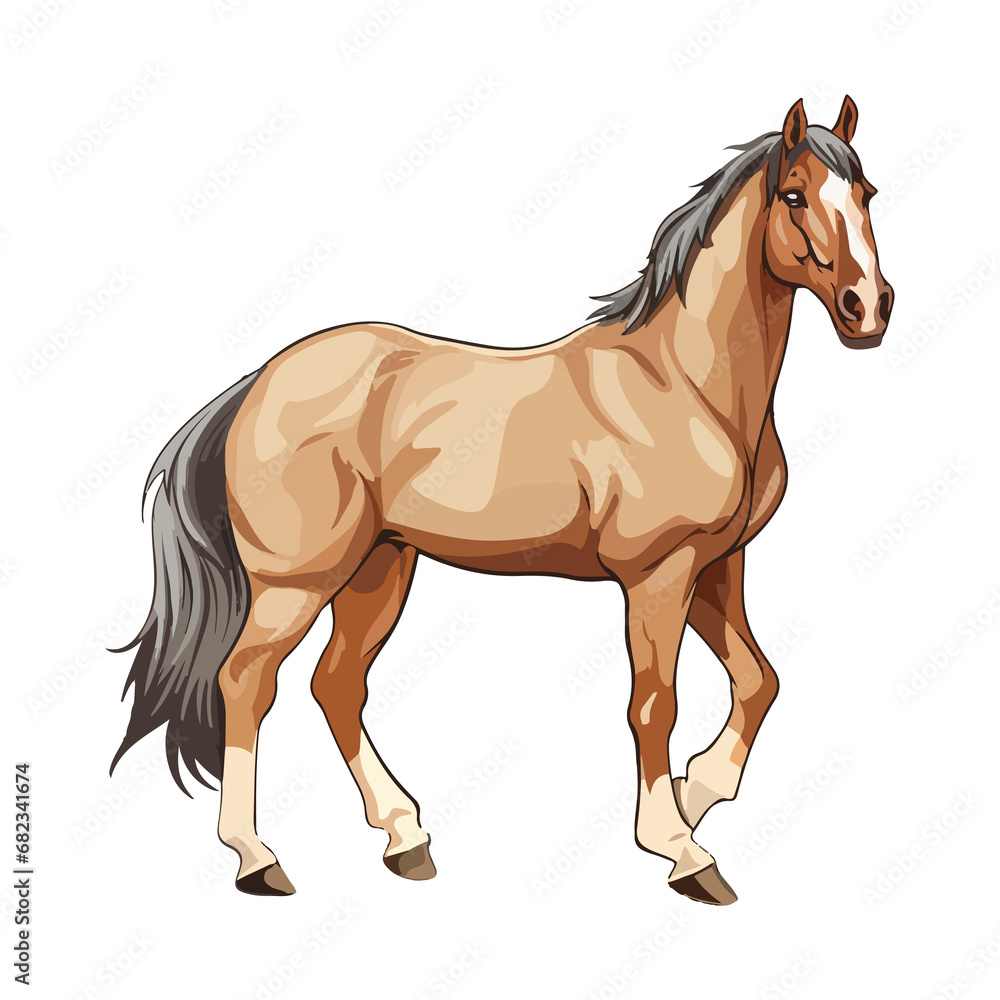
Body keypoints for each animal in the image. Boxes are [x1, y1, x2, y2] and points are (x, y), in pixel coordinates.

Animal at [112, 96, 892, 905]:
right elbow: (655, 704)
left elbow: (757, 681)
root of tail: (257, 383)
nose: (868, 308)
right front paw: (680, 848)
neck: (686, 384)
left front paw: (696, 792)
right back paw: (258, 858)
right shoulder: (657, 574)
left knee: (336, 685)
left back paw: (405, 838)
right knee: (246, 682)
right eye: (795, 195)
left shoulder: (716, 565)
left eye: (867, 194)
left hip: (379, 569)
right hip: (296, 583)